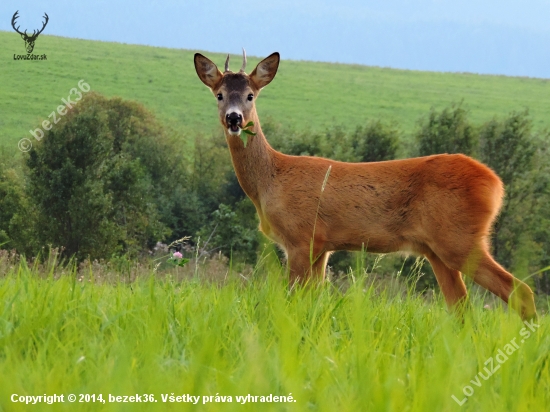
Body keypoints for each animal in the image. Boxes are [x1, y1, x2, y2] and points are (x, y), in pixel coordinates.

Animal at [195, 49, 540, 318]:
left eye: (250, 95)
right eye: (219, 95)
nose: (234, 118)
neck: (271, 180)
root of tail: (496, 183)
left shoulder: (301, 238)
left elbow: (294, 300)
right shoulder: (323, 246)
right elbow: (313, 301)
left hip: (458, 239)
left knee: (520, 291)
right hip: (437, 251)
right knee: (462, 309)